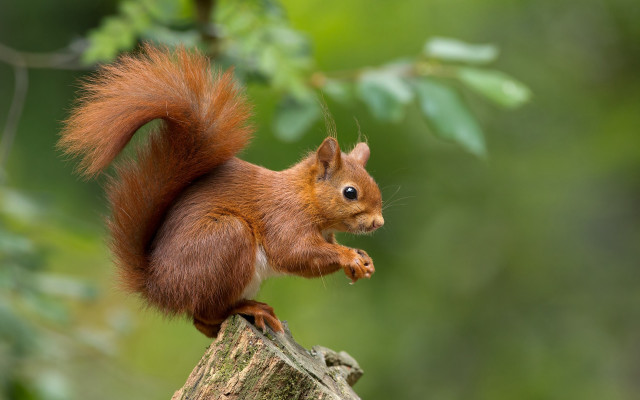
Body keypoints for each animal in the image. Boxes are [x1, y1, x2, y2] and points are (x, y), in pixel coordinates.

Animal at [58, 45, 384, 338]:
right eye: (350, 192)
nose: (378, 222)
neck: (304, 197)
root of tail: (158, 287)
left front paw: (363, 259)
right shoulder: (284, 218)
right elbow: (294, 253)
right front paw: (348, 256)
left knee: (202, 324)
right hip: (227, 240)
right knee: (205, 313)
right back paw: (249, 308)